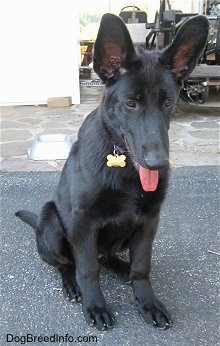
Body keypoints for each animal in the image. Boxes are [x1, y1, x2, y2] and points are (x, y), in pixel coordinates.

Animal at [15, 13, 208, 332]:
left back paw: (121, 267)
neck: (123, 167)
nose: (157, 163)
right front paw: (95, 305)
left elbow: (142, 266)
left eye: (168, 103)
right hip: (52, 222)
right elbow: (87, 268)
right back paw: (73, 285)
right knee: (68, 264)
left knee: (107, 256)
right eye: (131, 103)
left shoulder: (148, 221)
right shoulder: (84, 222)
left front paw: (147, 302)